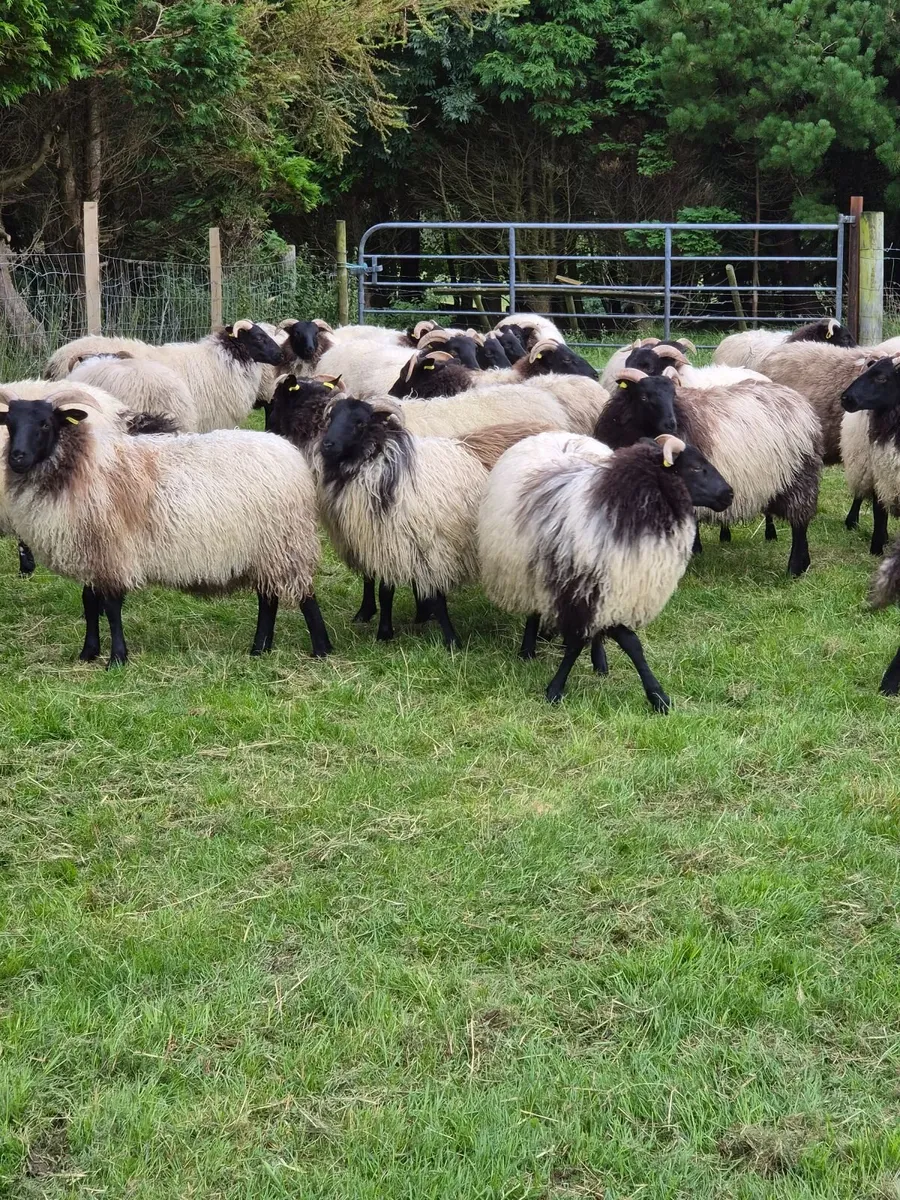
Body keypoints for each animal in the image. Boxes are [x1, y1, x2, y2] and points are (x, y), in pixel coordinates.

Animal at [0, 393, 329, 667]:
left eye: (45, 424)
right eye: (10, 424)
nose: (17, 457)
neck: (79, 464)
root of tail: (288, 452)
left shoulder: (113, 551)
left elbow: (111, 607)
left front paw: (117, 659)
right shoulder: (95, 553)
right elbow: (90, 603)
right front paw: (88, 652)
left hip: (285, 542)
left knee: (304, 596)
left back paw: (321, 649)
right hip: (266, 550)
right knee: (268, 599)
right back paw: (260, 649)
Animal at [315, 396, 547, 648]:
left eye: (360, 423)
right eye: (331, 417)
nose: (327, 445)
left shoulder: (430, 546)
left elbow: (428, 596)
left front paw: (449, 639)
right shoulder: (385, 542)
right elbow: (383, 588)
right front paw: (385, 628)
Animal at [477, 431, 733, 706]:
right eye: (696, 467)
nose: (729, 494)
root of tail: (553, 434)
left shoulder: (613, 589)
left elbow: (629, 644)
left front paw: (657, 696)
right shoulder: (578, 589)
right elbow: (586, 643)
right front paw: (555, 689)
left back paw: (599, 662)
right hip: (528, 565)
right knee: (534, 608)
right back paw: (527, 650)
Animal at [594, 367, 823, 574]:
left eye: (673, 395)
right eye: (643, 396)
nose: (670, 424)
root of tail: (797, 399)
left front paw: (691, 553)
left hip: (799, 477)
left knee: (800, 523)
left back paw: (796, 567)